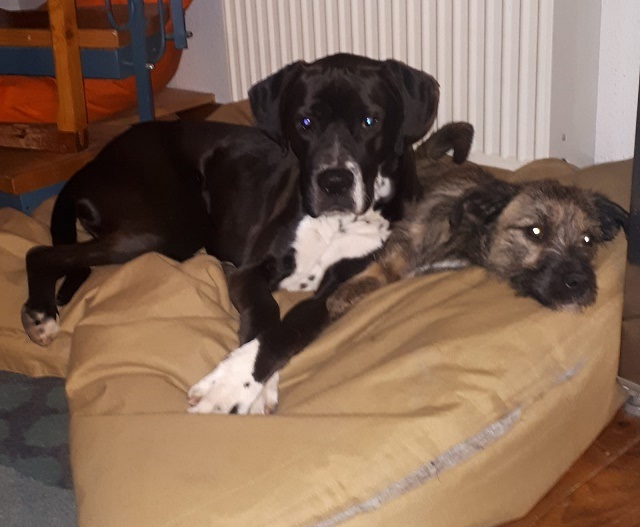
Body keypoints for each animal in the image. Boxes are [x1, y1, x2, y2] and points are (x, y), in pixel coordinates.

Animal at [21, 53, 440, 414]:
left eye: (370, 122)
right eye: (304, 123)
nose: (334, 181)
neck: (335, 223)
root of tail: (93, 161)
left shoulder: (339, 290)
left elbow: (287, 330)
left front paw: (237, 384)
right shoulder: (250, 271)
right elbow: (268, 315)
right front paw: (239, 386)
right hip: (165, 231)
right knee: (39, 253)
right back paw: (42, 315)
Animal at [327, 122, 629, 319]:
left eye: (588, 240)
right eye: (535, 231)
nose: (580, 282)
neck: (465, 237)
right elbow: (384, 269)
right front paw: (347, 292)